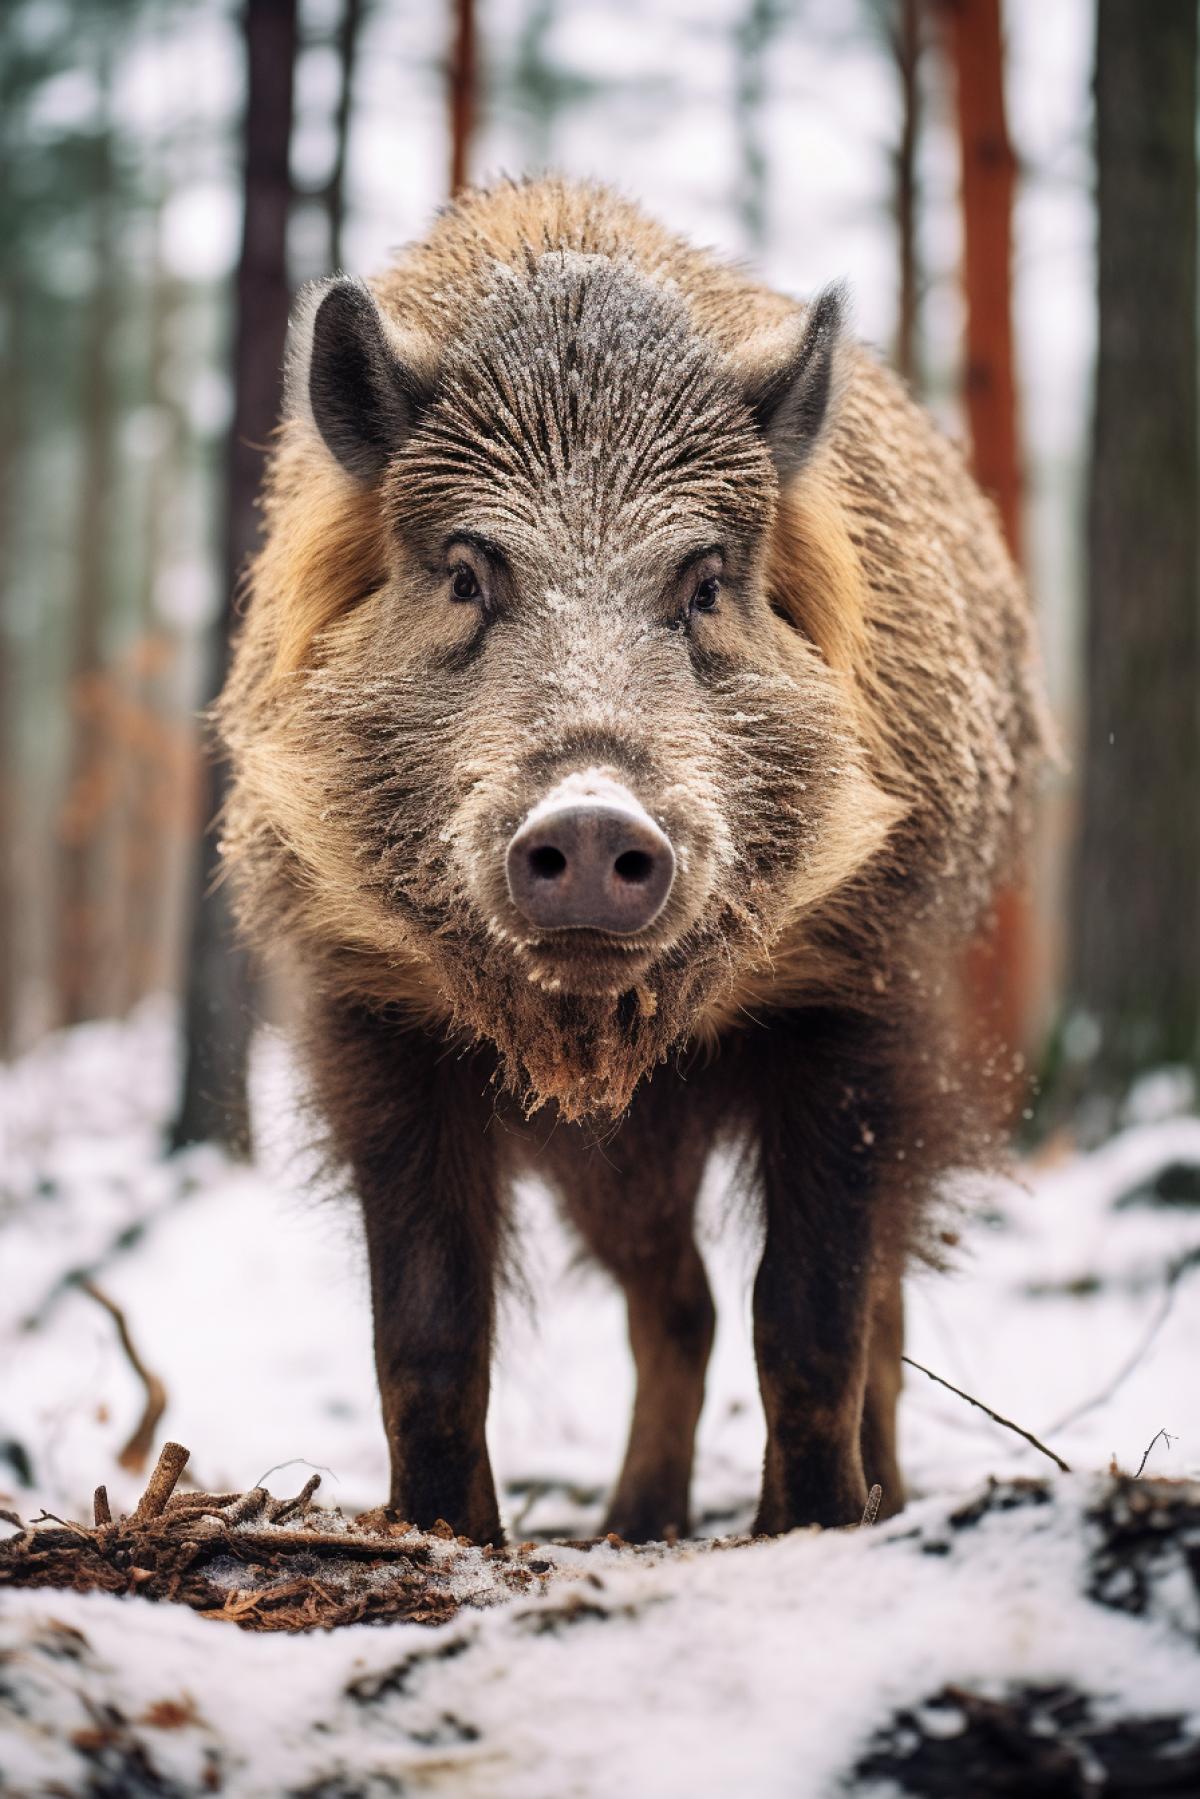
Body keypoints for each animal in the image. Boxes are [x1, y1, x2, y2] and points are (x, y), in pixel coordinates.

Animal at [218, 178, 1047, 1544]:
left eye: (705, 581)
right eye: (466, 571)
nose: (599, 816)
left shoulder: (861, 991)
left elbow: (812, 1317)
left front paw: (810, 1533)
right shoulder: (368, 1011)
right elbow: (428, 1335)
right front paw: (454, 1540)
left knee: (864, 1308)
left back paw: (868, 1502)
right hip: (612, 1167)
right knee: (680, 1304)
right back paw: (629, 1526)